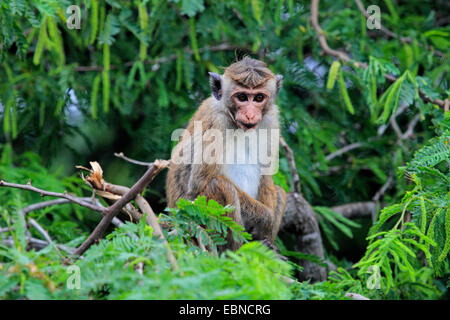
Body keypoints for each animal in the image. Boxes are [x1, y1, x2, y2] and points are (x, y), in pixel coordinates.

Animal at [167, 57, 286, 252]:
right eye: (242, 97)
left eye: (259, 98)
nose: (250, 114)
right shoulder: (217, 121)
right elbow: (200, 182)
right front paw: (267, 218)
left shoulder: (271, 119)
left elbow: (267, 176)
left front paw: (267, 233)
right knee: (221, 185)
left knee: (280, 192)